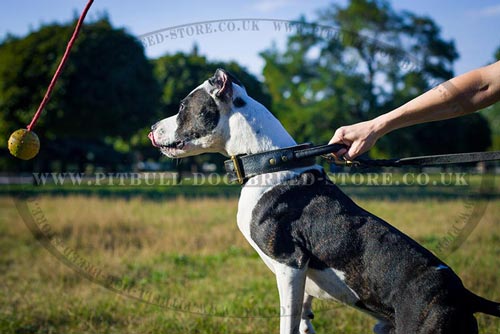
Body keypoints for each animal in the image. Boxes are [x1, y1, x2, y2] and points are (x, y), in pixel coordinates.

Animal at [149, 68, 500, 334]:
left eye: (183, 106)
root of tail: (462, 295)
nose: (151, 126)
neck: (270, 162)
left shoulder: (289, 264)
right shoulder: (300, 280)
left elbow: (286, 323)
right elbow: (302, 318)